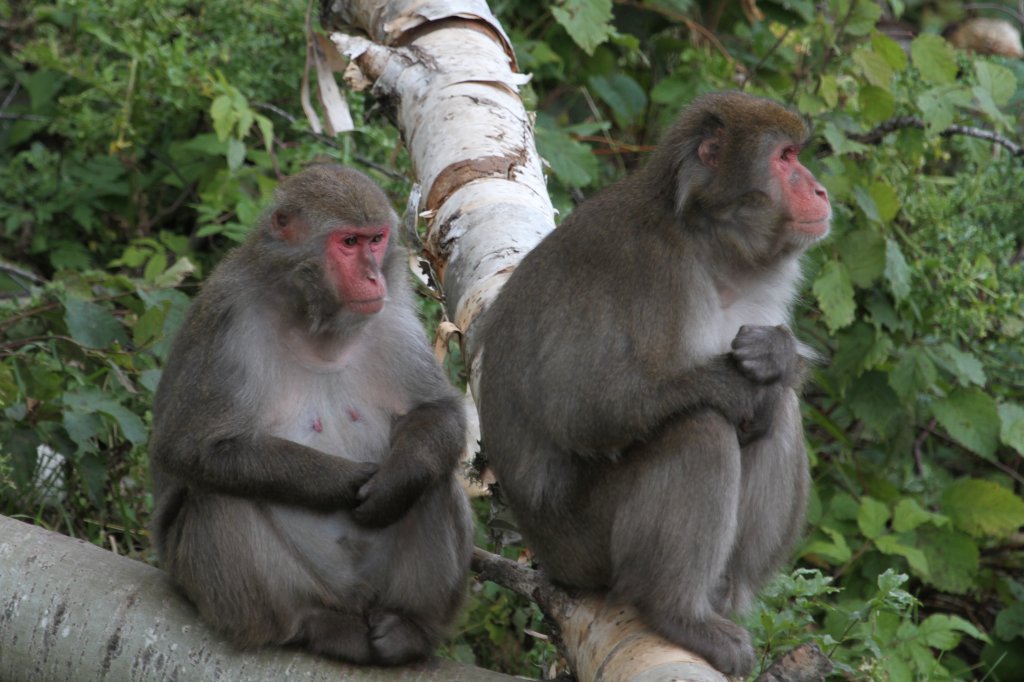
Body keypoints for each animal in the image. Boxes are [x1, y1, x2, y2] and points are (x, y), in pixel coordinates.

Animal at [149, 161, 473, 659]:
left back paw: (410, 628)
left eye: (376, 239)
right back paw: (312, 625)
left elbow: (437, 412)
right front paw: (345, 483)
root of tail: (352, 600)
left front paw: (395, 479)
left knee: (436, 479)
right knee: (218, 494)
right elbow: (189, 448)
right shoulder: (228, 321)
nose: (373, 278)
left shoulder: (392, 316)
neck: (313, 323)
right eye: (348, 243)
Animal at [479, 91, 831, 675]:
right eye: (785, 158)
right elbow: (582, 408)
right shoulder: (653, 267)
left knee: (779, 412)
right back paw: (676, 613)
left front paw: (778, 354)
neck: (709, 240)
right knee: (701, 428)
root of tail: (549, 560)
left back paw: (723, 596)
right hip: (586, 544)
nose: (821, 189)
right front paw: (739, 388)